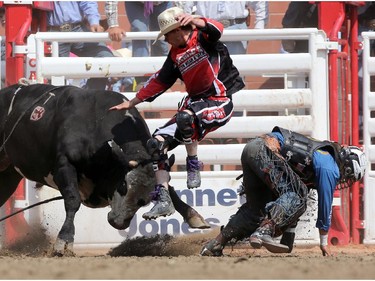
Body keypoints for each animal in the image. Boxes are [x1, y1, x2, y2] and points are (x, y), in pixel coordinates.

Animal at [0, 82, 209, 254]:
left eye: (146, 199)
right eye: (123, 185)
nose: (119, 223)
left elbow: (168, 188)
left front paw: (194, 216)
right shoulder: (64, 166)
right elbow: (73, 201)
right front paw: (63, 241)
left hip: (9, 174)